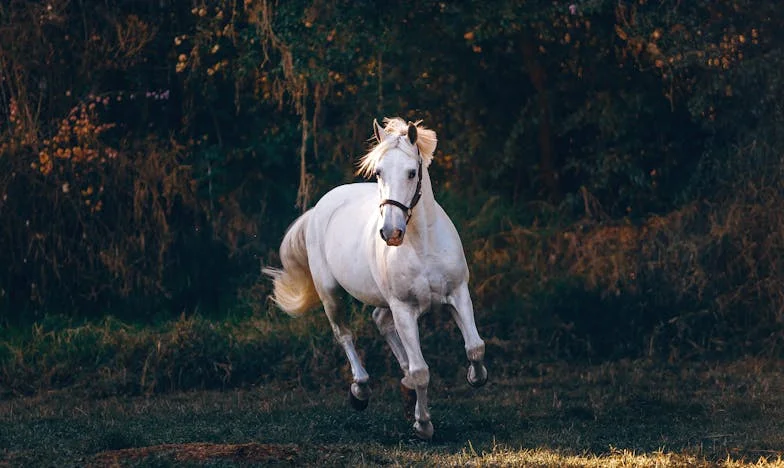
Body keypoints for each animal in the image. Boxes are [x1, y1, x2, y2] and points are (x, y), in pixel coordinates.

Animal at [264, 116, 484, 438]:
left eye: (412, 172)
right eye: (378, 172)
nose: (391, 233)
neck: (423, 245)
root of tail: (320, 207)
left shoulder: (458, 293)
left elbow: (475, 348)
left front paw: (474, 377)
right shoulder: (403, 308)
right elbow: (421, 370)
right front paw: (423, 425)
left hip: (382, 299)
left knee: (380, 321)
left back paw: (403, 388)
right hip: (331, 294)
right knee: (344, 334)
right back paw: (360, 391)